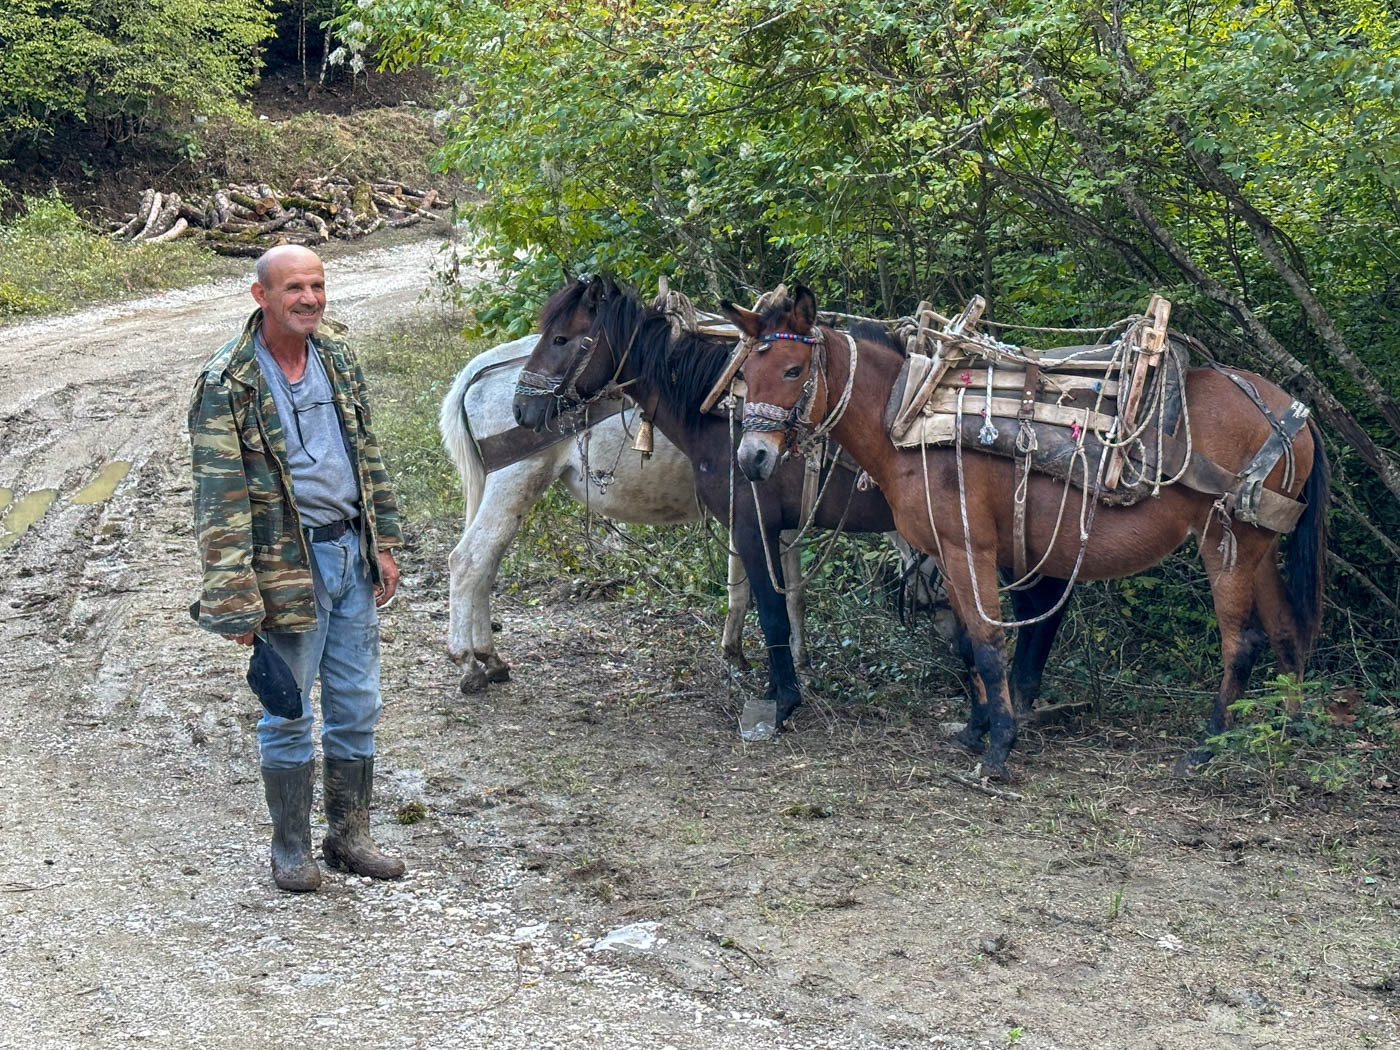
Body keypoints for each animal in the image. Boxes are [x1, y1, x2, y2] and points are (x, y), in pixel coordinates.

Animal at [511, 276, 1074, 739]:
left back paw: (1018, 698)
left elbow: (772, 612)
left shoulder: (752, 524)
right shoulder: (770, 526)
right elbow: (773, 602)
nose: (520, 409)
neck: (722, 411)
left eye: (560, 339)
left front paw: (782, 700)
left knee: (1038, 605)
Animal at [723, 286, 1329, 780]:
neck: (908, 414)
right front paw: (975, 731)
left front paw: (999, 749)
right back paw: (1289, 729)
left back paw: (1206, 748)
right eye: (744, 373)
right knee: (1286, 632)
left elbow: (990, 646)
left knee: (1242, 643)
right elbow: (969, 644)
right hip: (1262, 544)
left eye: (793, 371)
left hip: (1229, 544)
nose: (751, 459)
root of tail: (1293, 412)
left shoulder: (970, 548)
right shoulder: (947, 553)